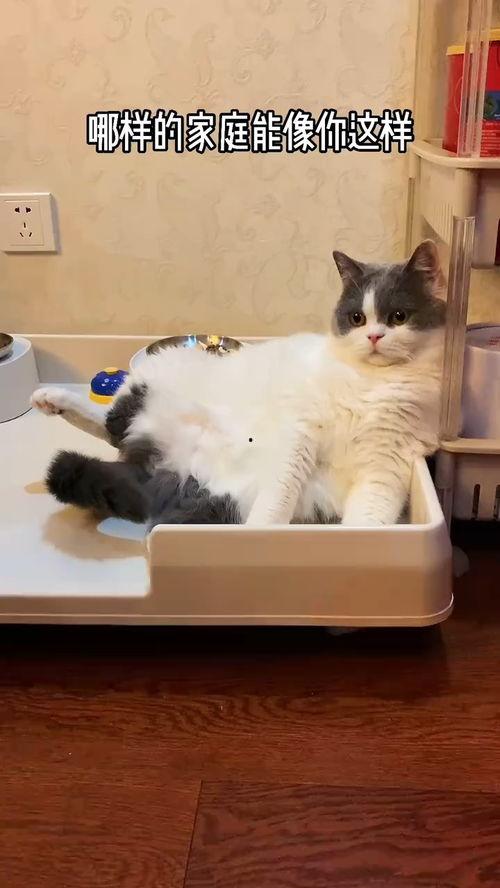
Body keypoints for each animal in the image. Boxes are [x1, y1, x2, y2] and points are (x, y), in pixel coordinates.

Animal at [32, 239, 446, 528]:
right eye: (357, 317)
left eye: (398, 316)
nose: (374, 337)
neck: (370, 384)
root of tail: (152, 457)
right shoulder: (301, 430)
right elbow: (280, 490)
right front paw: (262, 532)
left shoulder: (385, 467)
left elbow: (369, 518)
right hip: (162, 375)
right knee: (111, 418)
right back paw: (50, 397)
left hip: (212, 502)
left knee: (112, 432)